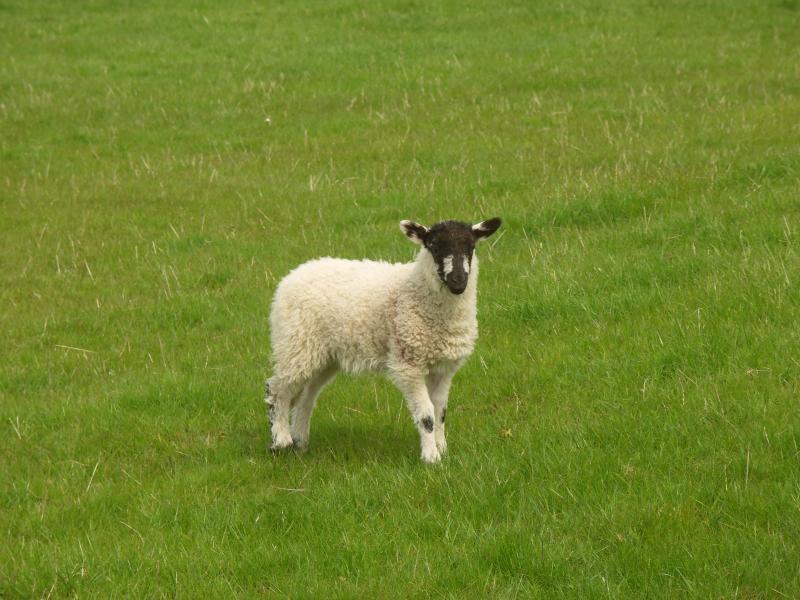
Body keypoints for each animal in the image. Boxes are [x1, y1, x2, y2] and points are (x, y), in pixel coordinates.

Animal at [264, 217, 502, 463]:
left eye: (471, 247)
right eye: (434, 246)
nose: (458, 281)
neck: (416, 289)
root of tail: (293, 274)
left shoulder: (444, 368)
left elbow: (440, 411)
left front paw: (442, 448)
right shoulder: (408, 364)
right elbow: (427, 415)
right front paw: (431, 457)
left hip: (323, 355)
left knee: (306, 397)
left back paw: (300, 442)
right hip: (296, 343)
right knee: (277, 389)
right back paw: (280, 440)